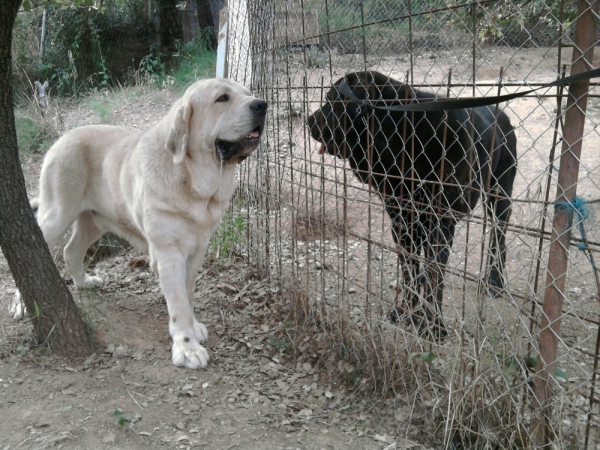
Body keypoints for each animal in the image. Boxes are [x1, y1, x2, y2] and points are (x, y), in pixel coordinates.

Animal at [8, 78, 268, 370]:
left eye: (248, 94)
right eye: (222, 98)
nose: (262, 104)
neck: (192, 181)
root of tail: (61, 139)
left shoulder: (197, 250)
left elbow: (188, 293)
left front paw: (194, 327)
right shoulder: (168, 254)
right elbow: (179, 303)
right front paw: (186, 347)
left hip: (93, 223)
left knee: (70, 250)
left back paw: (84, 283)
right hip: (57, 215)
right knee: (27, 254)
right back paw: (21, 305)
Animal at [308, 70, 516, 340]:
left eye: (330, 100)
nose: (308, 121)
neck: (399, 135)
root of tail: (500, 112)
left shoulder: (440, 225)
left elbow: (434, 277)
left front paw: (434, 326)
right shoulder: (401, 223)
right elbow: (409, 272)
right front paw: (406, 311)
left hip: (499, 196)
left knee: (498, 236)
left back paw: (494, 281)